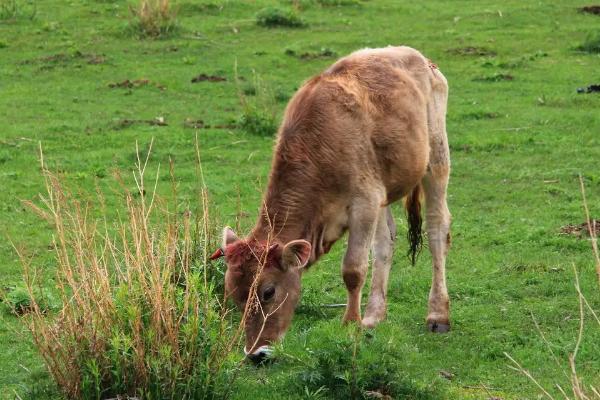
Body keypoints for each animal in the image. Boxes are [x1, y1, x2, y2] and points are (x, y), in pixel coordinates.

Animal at [211, 45, 450, 360]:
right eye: (233, 294)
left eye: (268, 291)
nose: (256, 353)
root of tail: (419, 57)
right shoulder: (373, 199)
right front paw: (361, 321)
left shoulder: (363, 203)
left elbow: (353, 270)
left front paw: (350, 324)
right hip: (385, 190)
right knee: (386, 243)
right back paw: (374, 316)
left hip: (436, 159)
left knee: (437, 231)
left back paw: (438, 315)